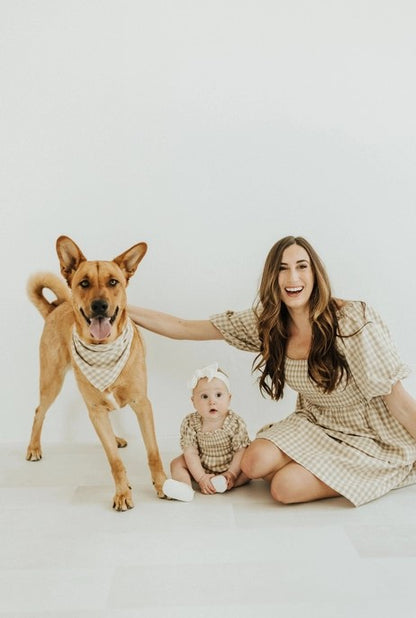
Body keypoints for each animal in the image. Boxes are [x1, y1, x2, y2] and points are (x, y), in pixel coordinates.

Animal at [26, 233, 167, 508]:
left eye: (113, 282)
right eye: (84, 283)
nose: (100, 305)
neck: (104, 349)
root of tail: (55, 307)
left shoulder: (142, 404)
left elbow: (153, 452)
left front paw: (163, 484)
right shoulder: (96, 410)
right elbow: (114, 461)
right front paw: (122, 492)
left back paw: (117, 438)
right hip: (52, 381)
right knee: (39, 411)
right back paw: (34, 448)